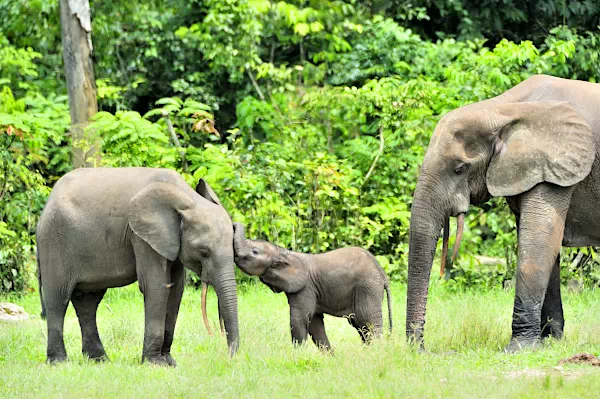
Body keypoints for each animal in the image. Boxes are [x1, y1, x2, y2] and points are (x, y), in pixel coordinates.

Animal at [36, 167, 239, 368]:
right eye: (204, 252)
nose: (229, 358)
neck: (187, 197)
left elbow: (176, 289)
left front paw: (170, 363)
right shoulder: (141, 237)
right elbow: (156, 286)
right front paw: (155, 363)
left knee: (88, 302)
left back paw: (100, 360)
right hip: (54, 240)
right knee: (58, 298)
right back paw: (59, 363)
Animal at [232, 223, 392, 352]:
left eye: (254, 252)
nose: (234, 224)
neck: (285, 253)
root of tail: (382, 273)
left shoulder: (305, 288)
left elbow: (299, 319)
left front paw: (298, 356)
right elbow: (315, 324)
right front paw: (331, 358)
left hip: (368, 287)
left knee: (369, 322)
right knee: (361, 325)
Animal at [406, 74, 600, 354]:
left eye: (459, 168)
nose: (421, 349)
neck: (500, 110)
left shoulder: (554, 163)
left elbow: (538, 241)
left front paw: (519, 348)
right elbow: (544, 245)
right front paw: (550, 343)